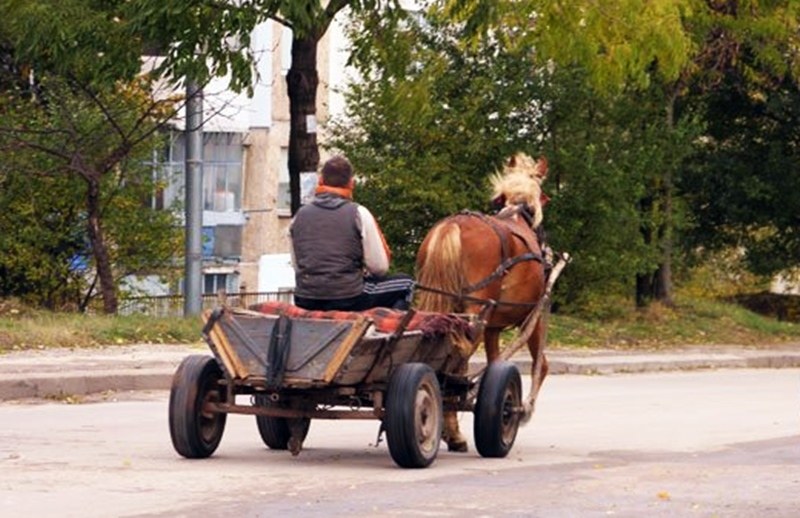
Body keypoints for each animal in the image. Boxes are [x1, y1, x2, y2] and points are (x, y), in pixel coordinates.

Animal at [412, 155, 552, 456]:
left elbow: (495, 361)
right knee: (459, 357)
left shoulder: (493, 328)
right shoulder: (533, 316)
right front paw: (524, 409)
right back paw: (454, 433)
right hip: (475, 310)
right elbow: (541, 364)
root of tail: (452, 226)